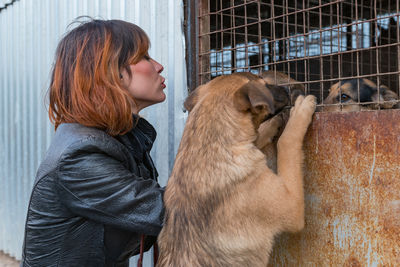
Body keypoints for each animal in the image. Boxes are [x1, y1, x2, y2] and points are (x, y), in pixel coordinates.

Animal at [156, 72, 316, 266]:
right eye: (264, 84)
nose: (290, 88)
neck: (205, 145)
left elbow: (258, 135)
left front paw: (270, 126)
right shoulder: (293, 207)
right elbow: (286, 141)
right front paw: (300, 111)